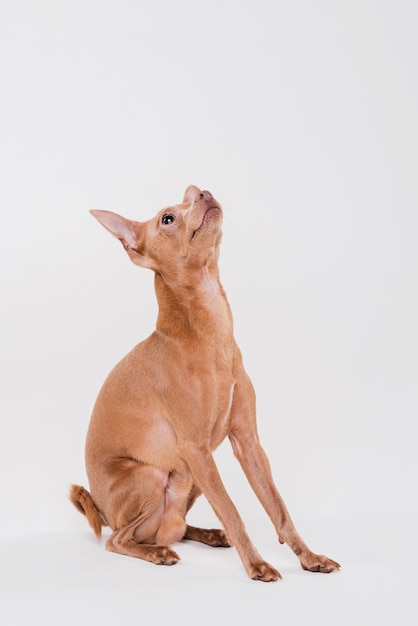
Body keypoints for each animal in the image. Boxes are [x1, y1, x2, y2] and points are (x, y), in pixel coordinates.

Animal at [71, 185, 340, 580]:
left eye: (193, 194)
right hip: (155, 474)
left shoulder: (248, 444)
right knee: (119, 539)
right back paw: (157, 553)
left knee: (174, 530)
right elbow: (232, 510)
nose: (204, 193)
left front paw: (309, 556)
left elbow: (278, 507)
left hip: (192, 476)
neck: (210, 334)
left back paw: (207, 535)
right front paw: (257, 564)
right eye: (168, 219)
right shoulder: (196, 448)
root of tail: (103, 512)